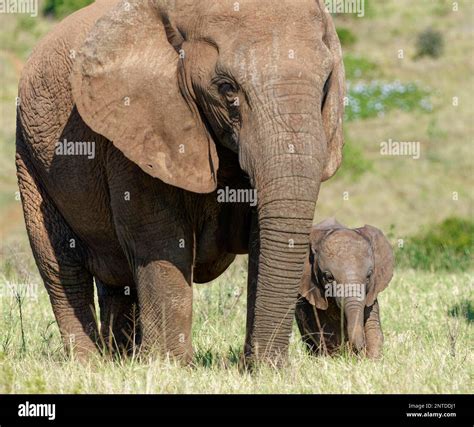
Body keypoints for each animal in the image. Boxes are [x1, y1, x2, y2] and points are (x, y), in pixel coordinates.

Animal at [15, 0, 344, 368]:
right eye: (226, 89)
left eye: (325, 84)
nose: (268, 367)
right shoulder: (135, 126)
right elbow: (159, 235)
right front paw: (170, 366)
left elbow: (264, 236)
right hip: (29, 156)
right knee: (60, 266)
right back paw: (90, 363)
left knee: (117, 279)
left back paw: (123, 358)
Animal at [296, 219, 392, 360]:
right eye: (329, 277)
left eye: (369, 275)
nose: (360, 348)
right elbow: (323, 330)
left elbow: (372, 324)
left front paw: (371, 359)